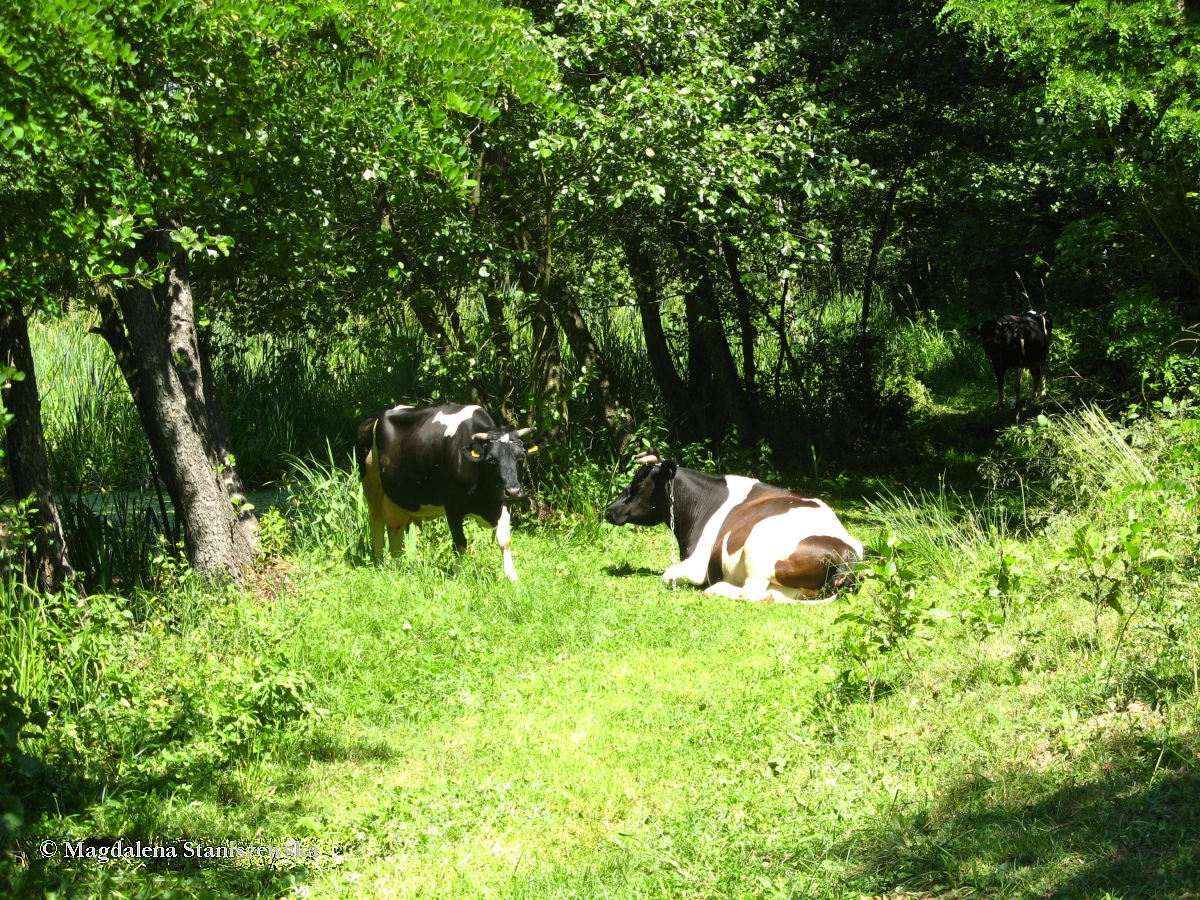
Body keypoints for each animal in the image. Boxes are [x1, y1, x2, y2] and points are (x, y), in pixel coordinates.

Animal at [352, 403, 547, 585]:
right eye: (491, 461)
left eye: (520, 457)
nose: (513, 490)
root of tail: (373, 419)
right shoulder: (452, 506)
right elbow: (460, 543)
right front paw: (456, 576)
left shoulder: (502, 500)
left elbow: (505, 540)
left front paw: (512, 576)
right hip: (372, 485)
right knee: (376, 525)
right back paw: (380, 565)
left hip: (397, 499)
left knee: (395, 530)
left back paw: (397, 567)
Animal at [609, 451, 864, 607]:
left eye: (638, 483)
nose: (609, 509)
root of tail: (847, 552)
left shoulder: (697, 566)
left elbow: (666, 576)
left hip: (758, 544)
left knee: (750, 592)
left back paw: (718, 589)